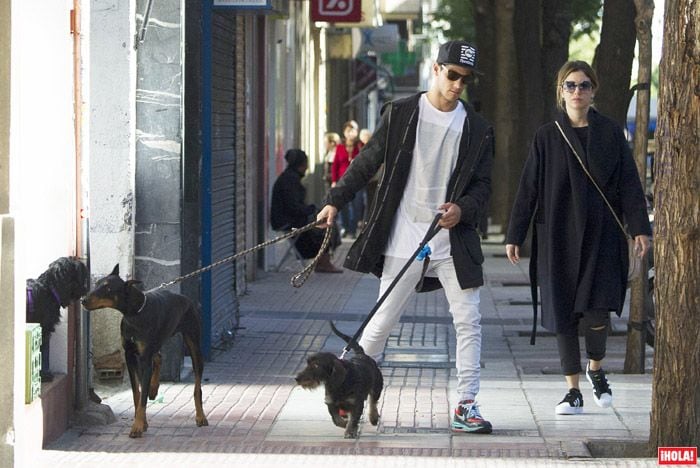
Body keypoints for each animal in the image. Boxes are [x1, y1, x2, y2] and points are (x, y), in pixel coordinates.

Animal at [82, 266, 208, 436]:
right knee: (158, 357)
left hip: (193, 343)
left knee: (197, 387)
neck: (134, 313)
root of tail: (186, 299)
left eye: (108, 289)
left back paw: (201, 416)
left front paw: (137, 426)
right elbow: (137, 393)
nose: (83, 300)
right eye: (96, 284)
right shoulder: (130, 355)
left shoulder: (144, 357)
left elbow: (142, 397)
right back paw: (153, 389)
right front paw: (141, 422)